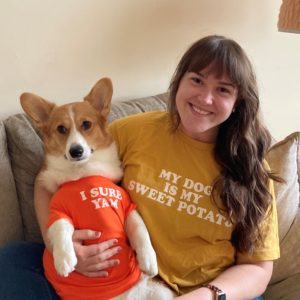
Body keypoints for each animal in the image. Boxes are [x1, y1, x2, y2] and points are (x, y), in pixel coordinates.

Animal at [20, 78, 173, 298]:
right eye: (61, 129)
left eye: (86, 125)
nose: (76, 151)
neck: (84, 172)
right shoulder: (57, 211)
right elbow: (60, 228)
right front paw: (64, 260)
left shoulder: (127, 208)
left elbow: (141, 230)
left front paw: (149, 261)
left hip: (161, 293)